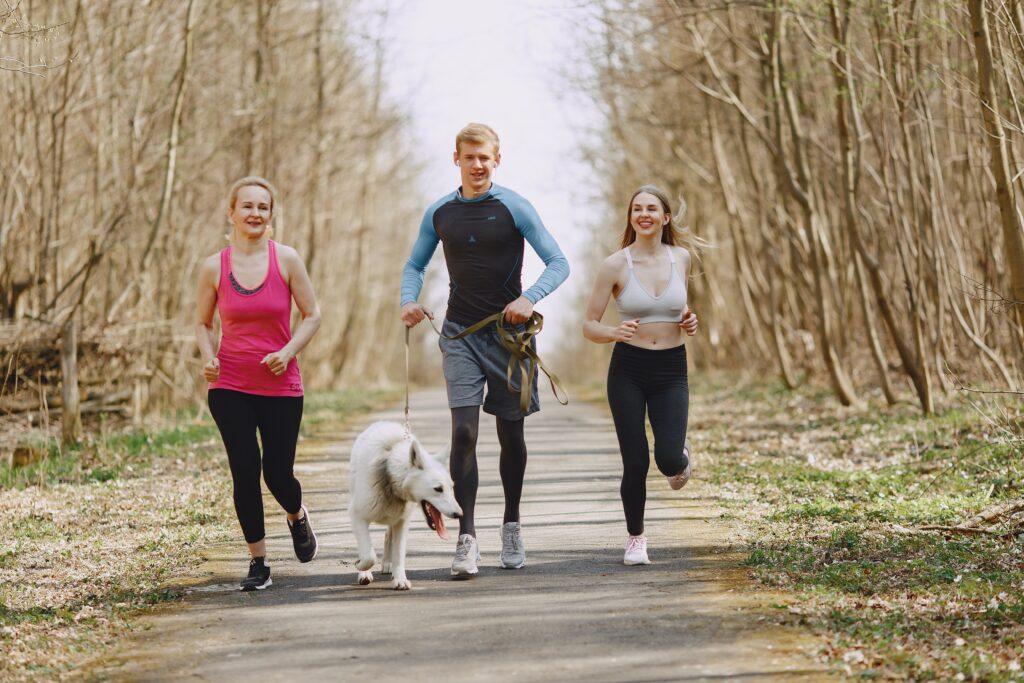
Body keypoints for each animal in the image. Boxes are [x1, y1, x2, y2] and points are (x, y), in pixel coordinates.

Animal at [348, 419, 460, 589]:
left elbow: (399, 553)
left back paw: (388, 564)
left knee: (388, 535)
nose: (459, 514)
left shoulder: (401, 523)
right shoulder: (358, 516)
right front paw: (362, 567)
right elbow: (368, 554)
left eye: (451, 487)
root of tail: (383, 422)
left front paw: (400, 579)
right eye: (438, 489)